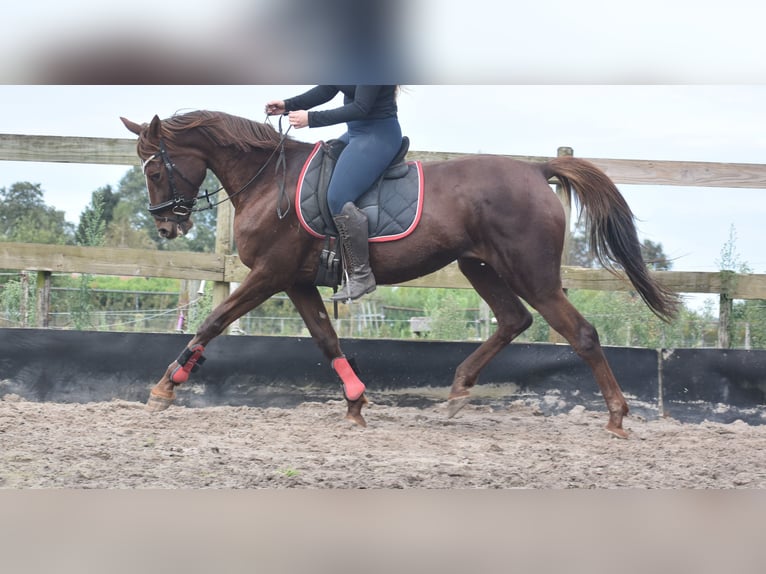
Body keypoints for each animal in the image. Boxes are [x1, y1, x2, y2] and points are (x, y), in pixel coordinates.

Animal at [120, 110, 680, 438]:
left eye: (155, 169)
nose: (168, 225)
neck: (268, 181)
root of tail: (534, 170)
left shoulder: (270, 273)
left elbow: (212, 322)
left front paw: (164, 389)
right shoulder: (296, 280)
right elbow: (326, 339)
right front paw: (355, 403)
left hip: (530, 272)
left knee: (580, 333)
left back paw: (616, 417)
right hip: (479, 265)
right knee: (512, 321)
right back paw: (458, 391)